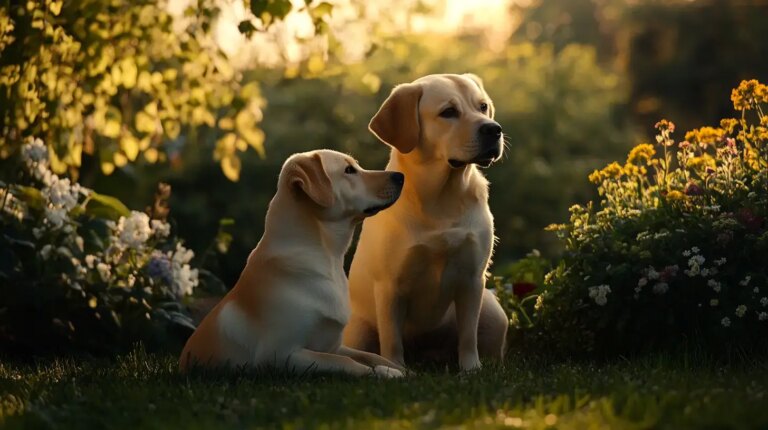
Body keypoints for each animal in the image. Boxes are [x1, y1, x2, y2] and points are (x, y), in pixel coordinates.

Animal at [181, 149, 408, 378]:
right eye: (349, 170)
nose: (400, 176)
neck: (329, 259)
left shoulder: (333, 345)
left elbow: (369, 355)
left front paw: (401, 369)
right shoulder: (280, 355)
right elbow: (346, 362)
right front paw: (384, 373)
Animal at [342, 73, 510, 370]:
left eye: (483, 107)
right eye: (448, 112)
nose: (494, 129)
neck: (441, 197)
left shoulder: (472, 278)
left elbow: (468, 336)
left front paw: (471, 370)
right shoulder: (389, 286)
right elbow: (392, 340)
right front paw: (397, 370)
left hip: (494, 312)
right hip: (359, 330)